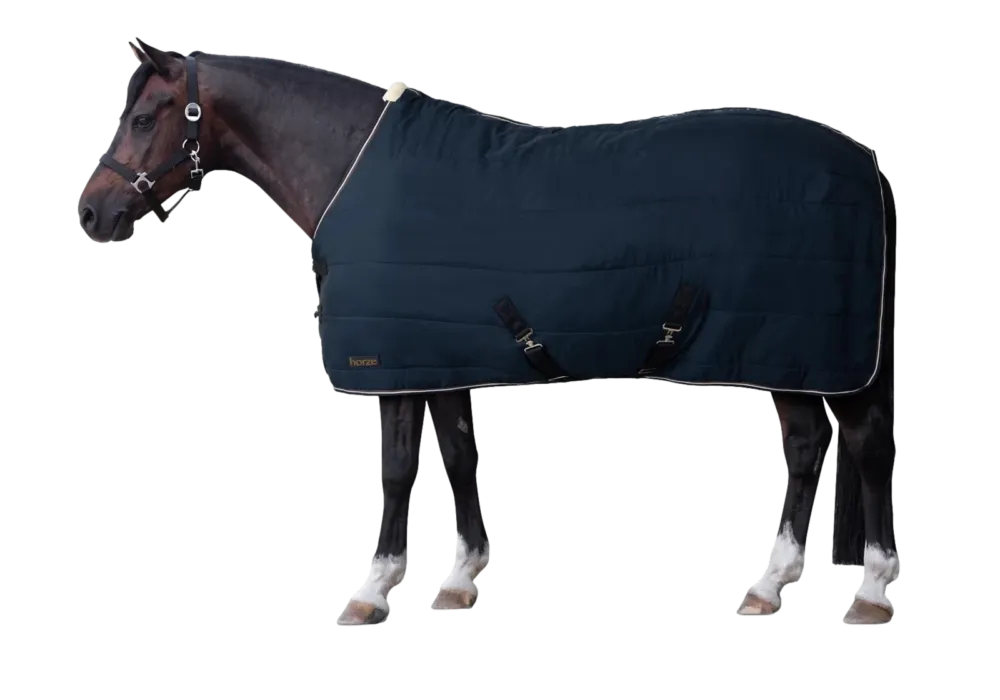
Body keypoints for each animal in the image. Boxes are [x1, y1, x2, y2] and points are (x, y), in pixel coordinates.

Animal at [78, 41, 898, 626]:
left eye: (145, 118)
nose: (90, 213)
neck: (353, 170)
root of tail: (861, 160)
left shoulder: (392, 362)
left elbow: (397, 470)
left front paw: (372, 591)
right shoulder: (438, 358)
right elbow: (460, 457)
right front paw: (460, 581)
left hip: (810, 354)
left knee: (861, 453)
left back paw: (868, 591)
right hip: (797, 358)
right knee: (809, 451)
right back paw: (773, 585)